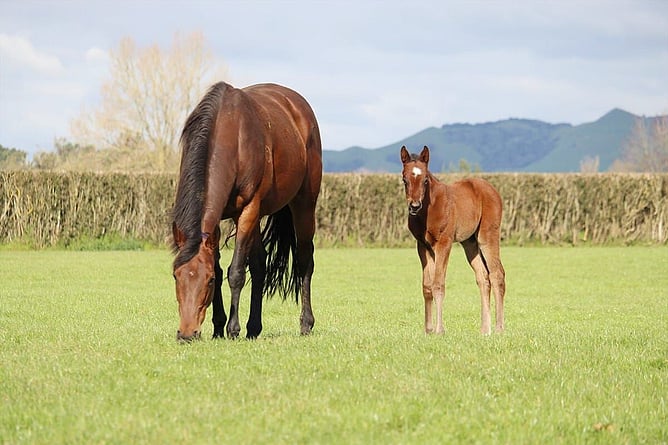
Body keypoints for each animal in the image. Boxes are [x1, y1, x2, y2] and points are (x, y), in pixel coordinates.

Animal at [171, 81, 322, 341]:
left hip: (304, 204)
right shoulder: (217, 220)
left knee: (304, 260)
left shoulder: (248, 210)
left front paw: (232, 329)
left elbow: (236, 272)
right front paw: (218, 327)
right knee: (260, 265)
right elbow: (223, 267)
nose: (187, 334)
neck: (232, 137)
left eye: (208, 281)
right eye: (175, 276)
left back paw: (306, 324)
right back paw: (254, 328)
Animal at [400, 145, 505, 335]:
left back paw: (499, 328)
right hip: (470, 243)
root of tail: (492, 189)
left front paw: (439, 330)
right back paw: (484, 330)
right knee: (483, 277)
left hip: (487, 236)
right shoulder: (423, 246)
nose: (415, 206)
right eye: (404, 179)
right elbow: (427, 286)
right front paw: (428, 330)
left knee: (497, 274)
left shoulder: (444, 243)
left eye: (425, 180)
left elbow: (438, 284)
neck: (430, 208)